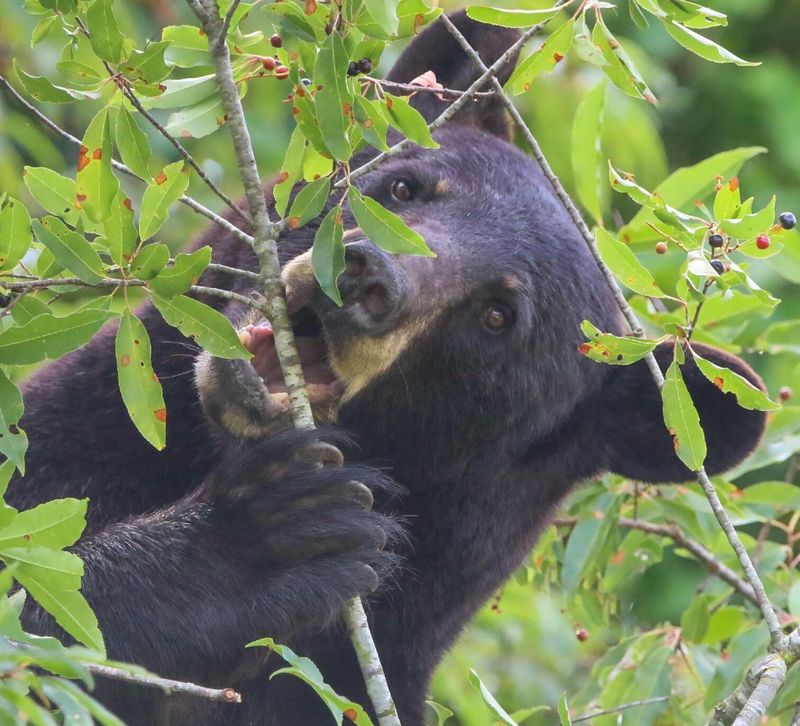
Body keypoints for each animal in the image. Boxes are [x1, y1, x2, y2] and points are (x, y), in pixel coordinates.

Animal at [8, 11, 767, 726]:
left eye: (497, 317)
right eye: (406, 187)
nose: (369, 276)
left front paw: (275, 539)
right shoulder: (70, 441)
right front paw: (257, 544)